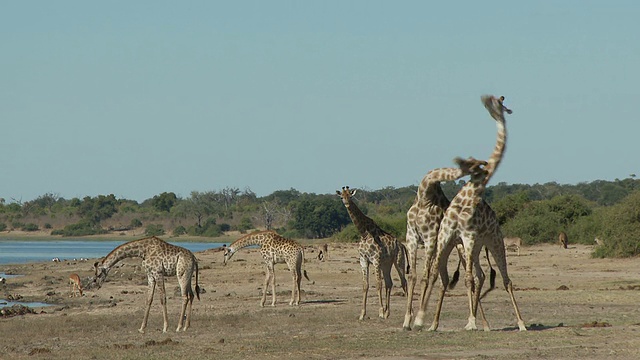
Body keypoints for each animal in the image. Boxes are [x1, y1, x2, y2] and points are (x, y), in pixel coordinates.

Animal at [336, 187, 404, 320]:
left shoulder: (376, 259)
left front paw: (380, 312)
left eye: (350, 196)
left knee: (404, 282)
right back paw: (388, 313)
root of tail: (400, 243)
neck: (364, 233)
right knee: (389, 283)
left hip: (398, 261)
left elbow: (378, 283)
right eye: (341, 197)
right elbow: (365, 285)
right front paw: (362, 314)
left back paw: (409, 312)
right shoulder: (363, 260)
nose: (346, 204)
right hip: (387, 264)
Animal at [402, 156, 492, 330]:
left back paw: (482, 323)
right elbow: (412, 276)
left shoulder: (430, 237)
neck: (424, 197)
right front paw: (407, 321)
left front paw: (417, 320)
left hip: (463, 249)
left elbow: (425, 277)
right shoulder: (411, 236)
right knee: (448, 278)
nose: (485, 166)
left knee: (476, 277)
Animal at [416, 95, 524, 332]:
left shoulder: (469, 236)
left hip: (493, 241)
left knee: (504, 279)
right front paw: (421, 319)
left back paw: (520, 324)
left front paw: (472, 322)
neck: (471, 193)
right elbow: (440, 274)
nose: (487, 100)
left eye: (498, 103)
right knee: (477, 275)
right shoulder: (448, 236)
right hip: (471, 247)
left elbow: (467, 279)